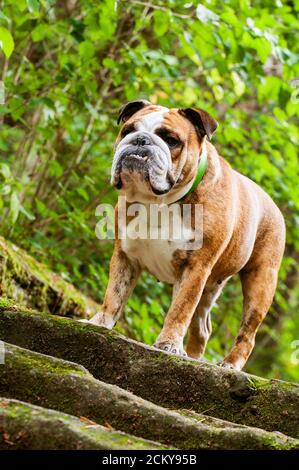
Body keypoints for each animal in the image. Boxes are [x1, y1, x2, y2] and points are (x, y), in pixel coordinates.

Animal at [86, 100, 286, 370]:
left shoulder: (195, 268)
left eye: (171, 141)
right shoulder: (124, 256)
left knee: (248, 332)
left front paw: (169, 345)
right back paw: (193, 357)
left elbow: (179, 310)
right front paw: (100, 323)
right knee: (202, 326)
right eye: (127, 130)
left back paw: (230, 363)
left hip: (260, 281)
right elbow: (114, 295)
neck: (157, 201)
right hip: (210, 287)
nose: (140, 140)